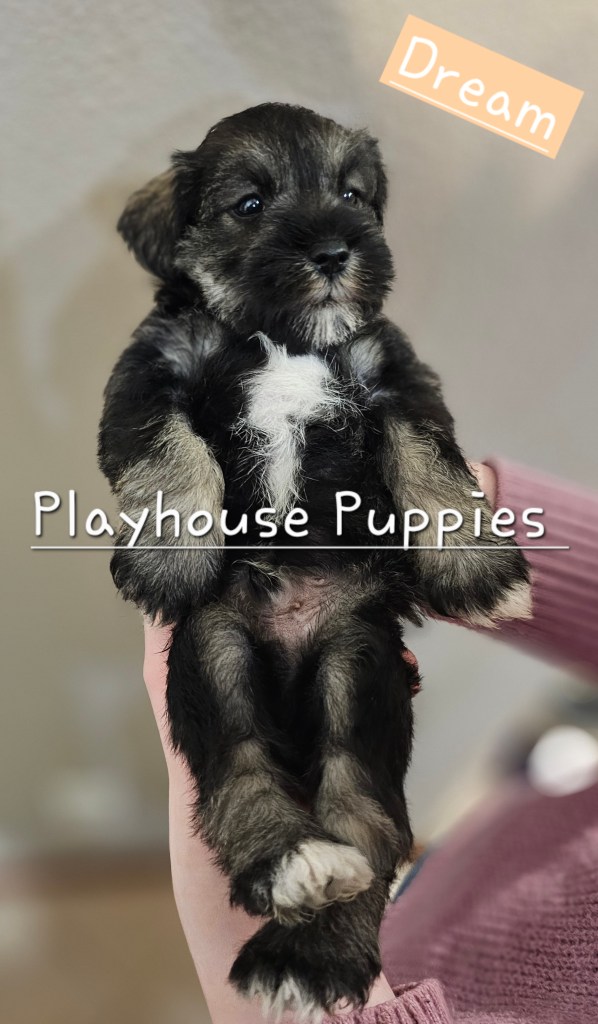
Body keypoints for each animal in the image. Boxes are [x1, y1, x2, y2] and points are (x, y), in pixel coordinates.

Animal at [98, 102, 531, 1020]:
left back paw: (316, 949)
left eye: (353, 194)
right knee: (241, 778)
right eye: (250, 203)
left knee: (368, 819)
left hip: (358, 663)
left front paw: (477, 567)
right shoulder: (150, 373)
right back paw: (291, 867)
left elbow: (430, 458)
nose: (335, 252)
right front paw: (168, 556)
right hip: (214, 653)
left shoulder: (398, 377)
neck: (284, 339)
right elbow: (169, 447)